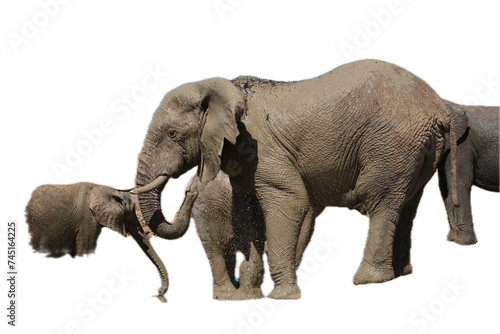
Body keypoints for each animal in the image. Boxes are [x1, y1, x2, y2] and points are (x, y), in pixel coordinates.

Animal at [131, 59, 466, 300]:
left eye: (172, 134)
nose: (191, 189)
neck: (220, 87)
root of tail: (440, 107)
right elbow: (246, 212)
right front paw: (247, 297)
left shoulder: (262, 148)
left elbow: (289, 202)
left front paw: (281, 298)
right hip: (419, 148)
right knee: (407, 204)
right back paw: (400, 274)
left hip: (392, 144)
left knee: (382, 202)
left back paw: (367, 281)